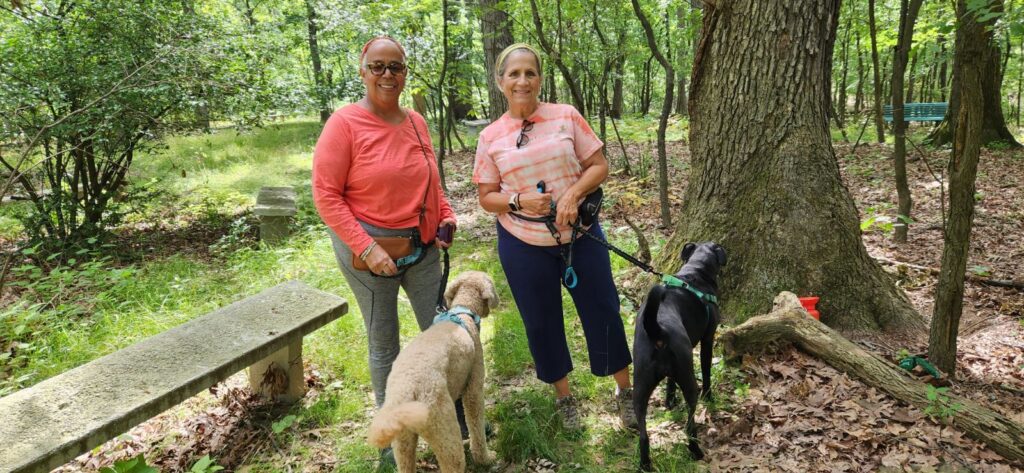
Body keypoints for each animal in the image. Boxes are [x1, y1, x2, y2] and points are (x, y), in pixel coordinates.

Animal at [367, 271, 499, 472]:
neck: (463, 313)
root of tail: (405, 394)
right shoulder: (473, 388)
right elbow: (476, 427)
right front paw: (485, 458)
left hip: (403, 444)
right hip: (444, 431)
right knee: (453, 462)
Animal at [632, 242, 726, 470]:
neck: (695, 272)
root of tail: (657, 331)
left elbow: (669, 383)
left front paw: (669, 401)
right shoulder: (708, 340)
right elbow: (707, 370)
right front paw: (709, 396)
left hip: (640, 387)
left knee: (643, 435)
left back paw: (645, 465)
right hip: (688, 378)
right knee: (689, 424)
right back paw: (696, 450)